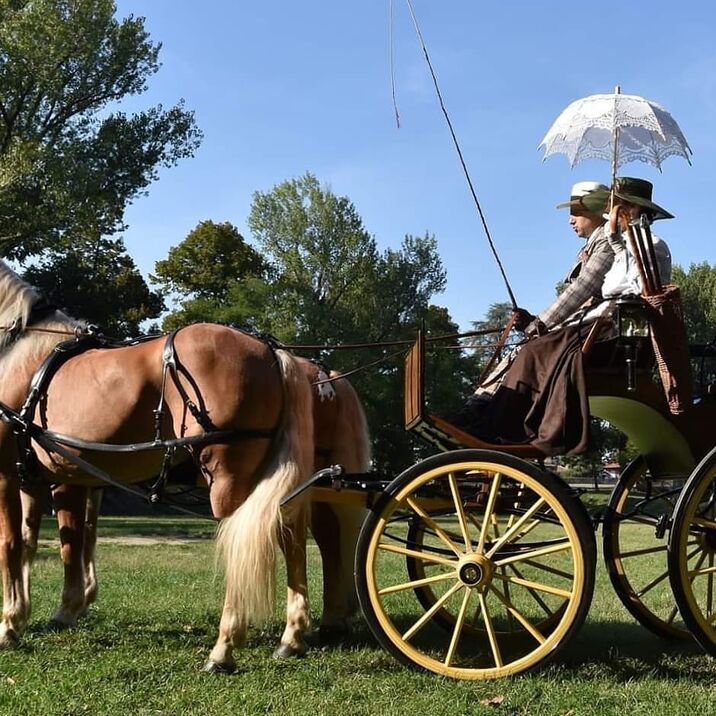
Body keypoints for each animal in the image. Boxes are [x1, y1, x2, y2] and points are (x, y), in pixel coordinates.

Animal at [0, 260, 316, 676]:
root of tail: (271, 350)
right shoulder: (44, 477)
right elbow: (45, 542)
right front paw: (37, 613)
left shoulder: (9, 473)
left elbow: (13, 544)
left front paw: (9, 624)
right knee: (291, 538)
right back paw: (292, 637)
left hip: (227, 479)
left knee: (240, 545)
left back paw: (224, 649)